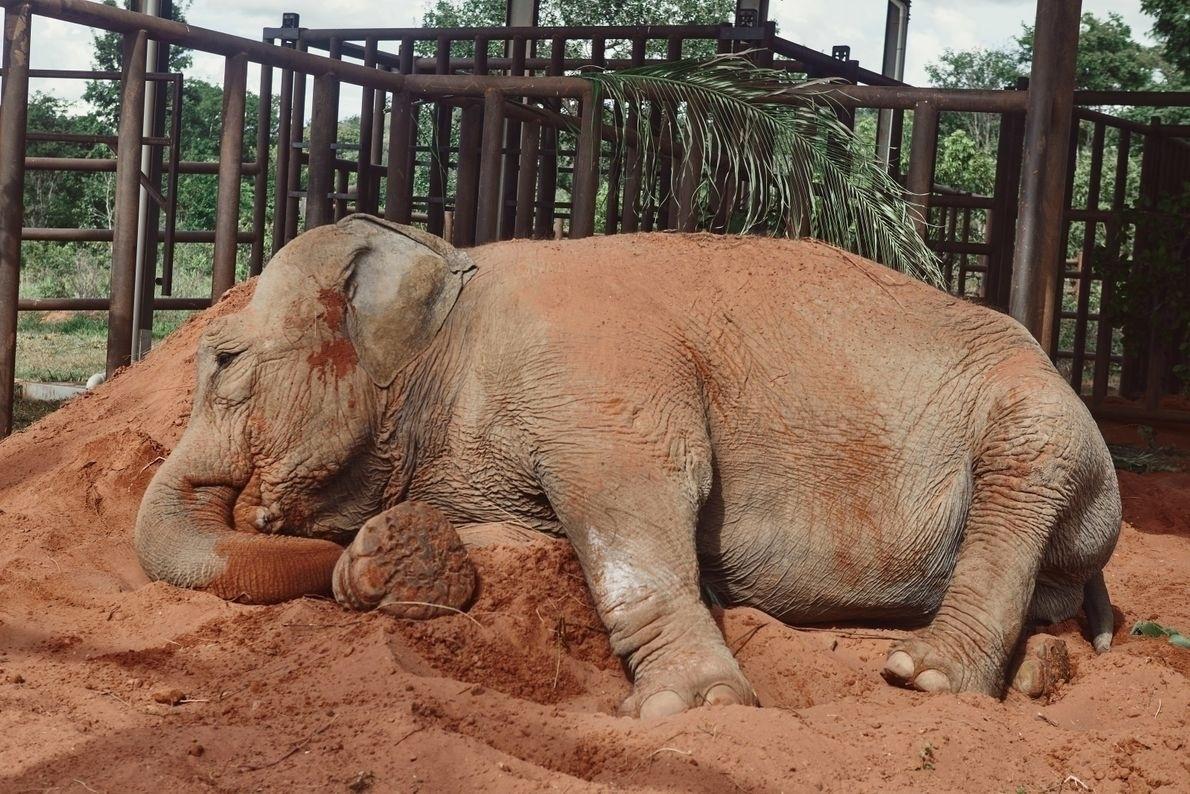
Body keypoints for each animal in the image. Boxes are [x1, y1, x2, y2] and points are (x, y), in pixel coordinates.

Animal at [135, 214, 1118, 719]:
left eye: (223, 360)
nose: (340, 565)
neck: (450, 278)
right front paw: (389, 565)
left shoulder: (596, 377)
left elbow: (637, 498)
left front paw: (696, 710)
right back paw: (1037, 672)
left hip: (1047, 428)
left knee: (1021, 488)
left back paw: (928, 678)